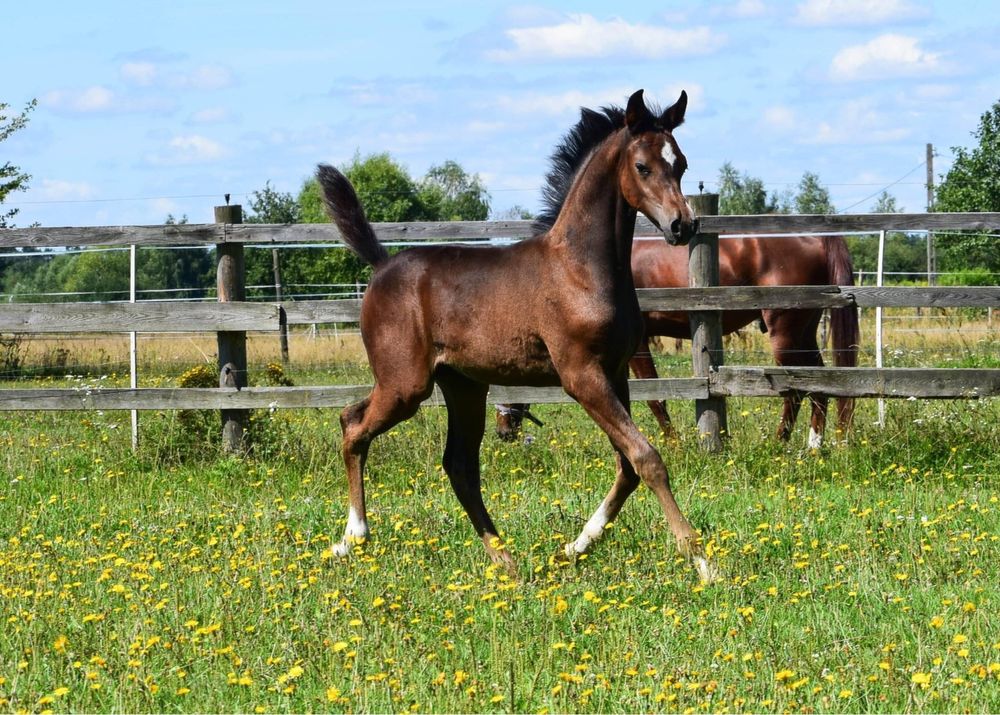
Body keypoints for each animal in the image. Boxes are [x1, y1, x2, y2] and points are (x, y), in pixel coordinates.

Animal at [320, 88, 720, 580]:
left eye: (680, 163)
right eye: (643, 166)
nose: (682, 225)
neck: (581, 270)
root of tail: (380, 266)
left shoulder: (615, 373)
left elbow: (626, 466)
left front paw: (575, 546)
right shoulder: (581, 376)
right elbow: (647, 458)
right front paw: (700, 559)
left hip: (464, 386)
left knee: (458, 464)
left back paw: (504, 559)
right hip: (405, 384)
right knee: (353, 425)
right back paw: (352, 537)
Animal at [500, 235, 860, 448]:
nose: (503, 432)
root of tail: (816, 239)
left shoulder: (637, 346)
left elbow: (653, 397)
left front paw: (671, 444)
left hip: (786, 335)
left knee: (802, 387)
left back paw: (793, 444)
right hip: (803, 332)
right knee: (817, 384)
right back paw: (807, 444)